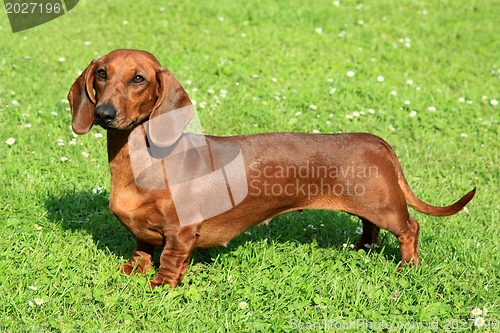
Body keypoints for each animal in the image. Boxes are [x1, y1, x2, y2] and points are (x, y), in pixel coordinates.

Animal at [68, 49, 474, 288]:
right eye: (101, 73)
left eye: (139, 78)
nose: (104, 113)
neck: (139, 162)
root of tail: (378, 142)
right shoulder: (144, 231)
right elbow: (141, 248)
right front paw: (131, 271)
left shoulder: (182, 231)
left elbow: (169, 261)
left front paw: (158, 287)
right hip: (369, 206)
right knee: (370, 227)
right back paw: (361, 249)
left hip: (386, 206)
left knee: (410, 228)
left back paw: (408, 268)